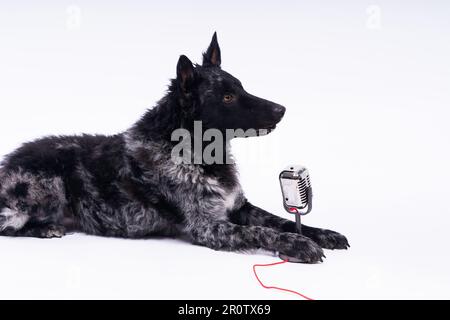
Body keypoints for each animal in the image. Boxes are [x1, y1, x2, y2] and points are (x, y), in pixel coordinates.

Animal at [0, 33, 348, 262]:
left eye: (241, 87)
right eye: (227, 97)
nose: (282, 109)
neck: (196, 154)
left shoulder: (240, 208)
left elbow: (281, 219)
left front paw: (321, 233)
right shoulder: (208, 227)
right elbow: (264, 232)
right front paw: (298, 245)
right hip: (49, 186)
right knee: (7, 226)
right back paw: (45, 229)